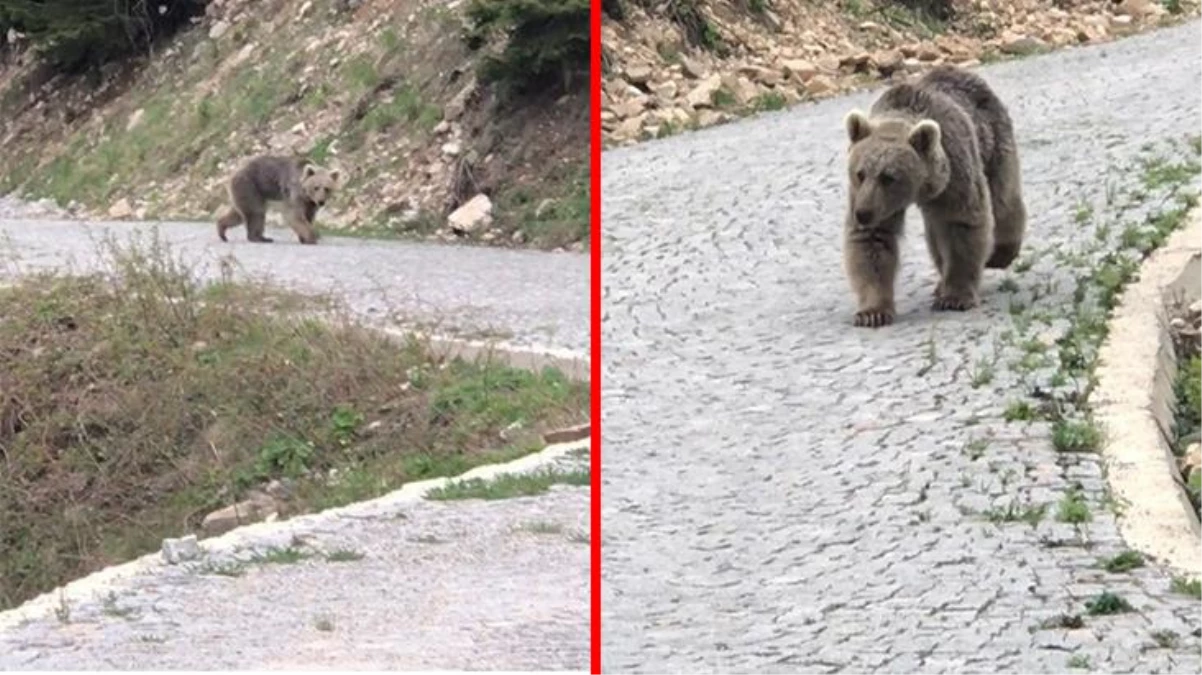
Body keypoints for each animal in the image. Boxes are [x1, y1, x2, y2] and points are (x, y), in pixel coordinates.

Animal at [841, 64, 1028, 326]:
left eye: (889, 177)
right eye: (860, 173)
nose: (863, 213)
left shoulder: (955, 171)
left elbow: (963, 225)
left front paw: (955, 297)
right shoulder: (865, 198)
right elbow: (872, 243)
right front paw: (872, 312)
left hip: (993, 140)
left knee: (1003, 199)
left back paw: (1001, 253)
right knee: (935, 232)